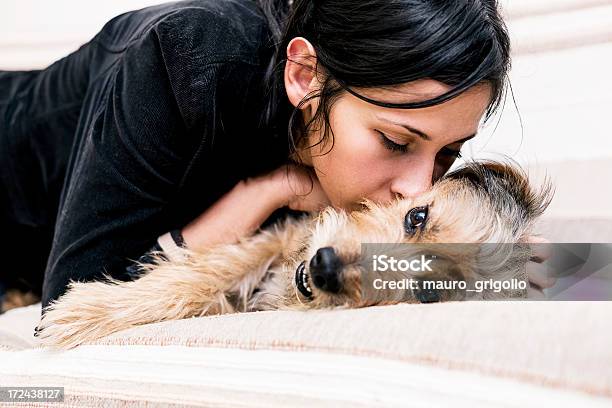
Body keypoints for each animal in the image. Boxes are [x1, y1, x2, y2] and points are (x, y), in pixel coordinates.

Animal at [34, 159, 556, 348]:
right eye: (416, 217)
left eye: (427, 293)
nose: (325, 266)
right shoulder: (279, 236)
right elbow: (206, 271)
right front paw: (86, 313)